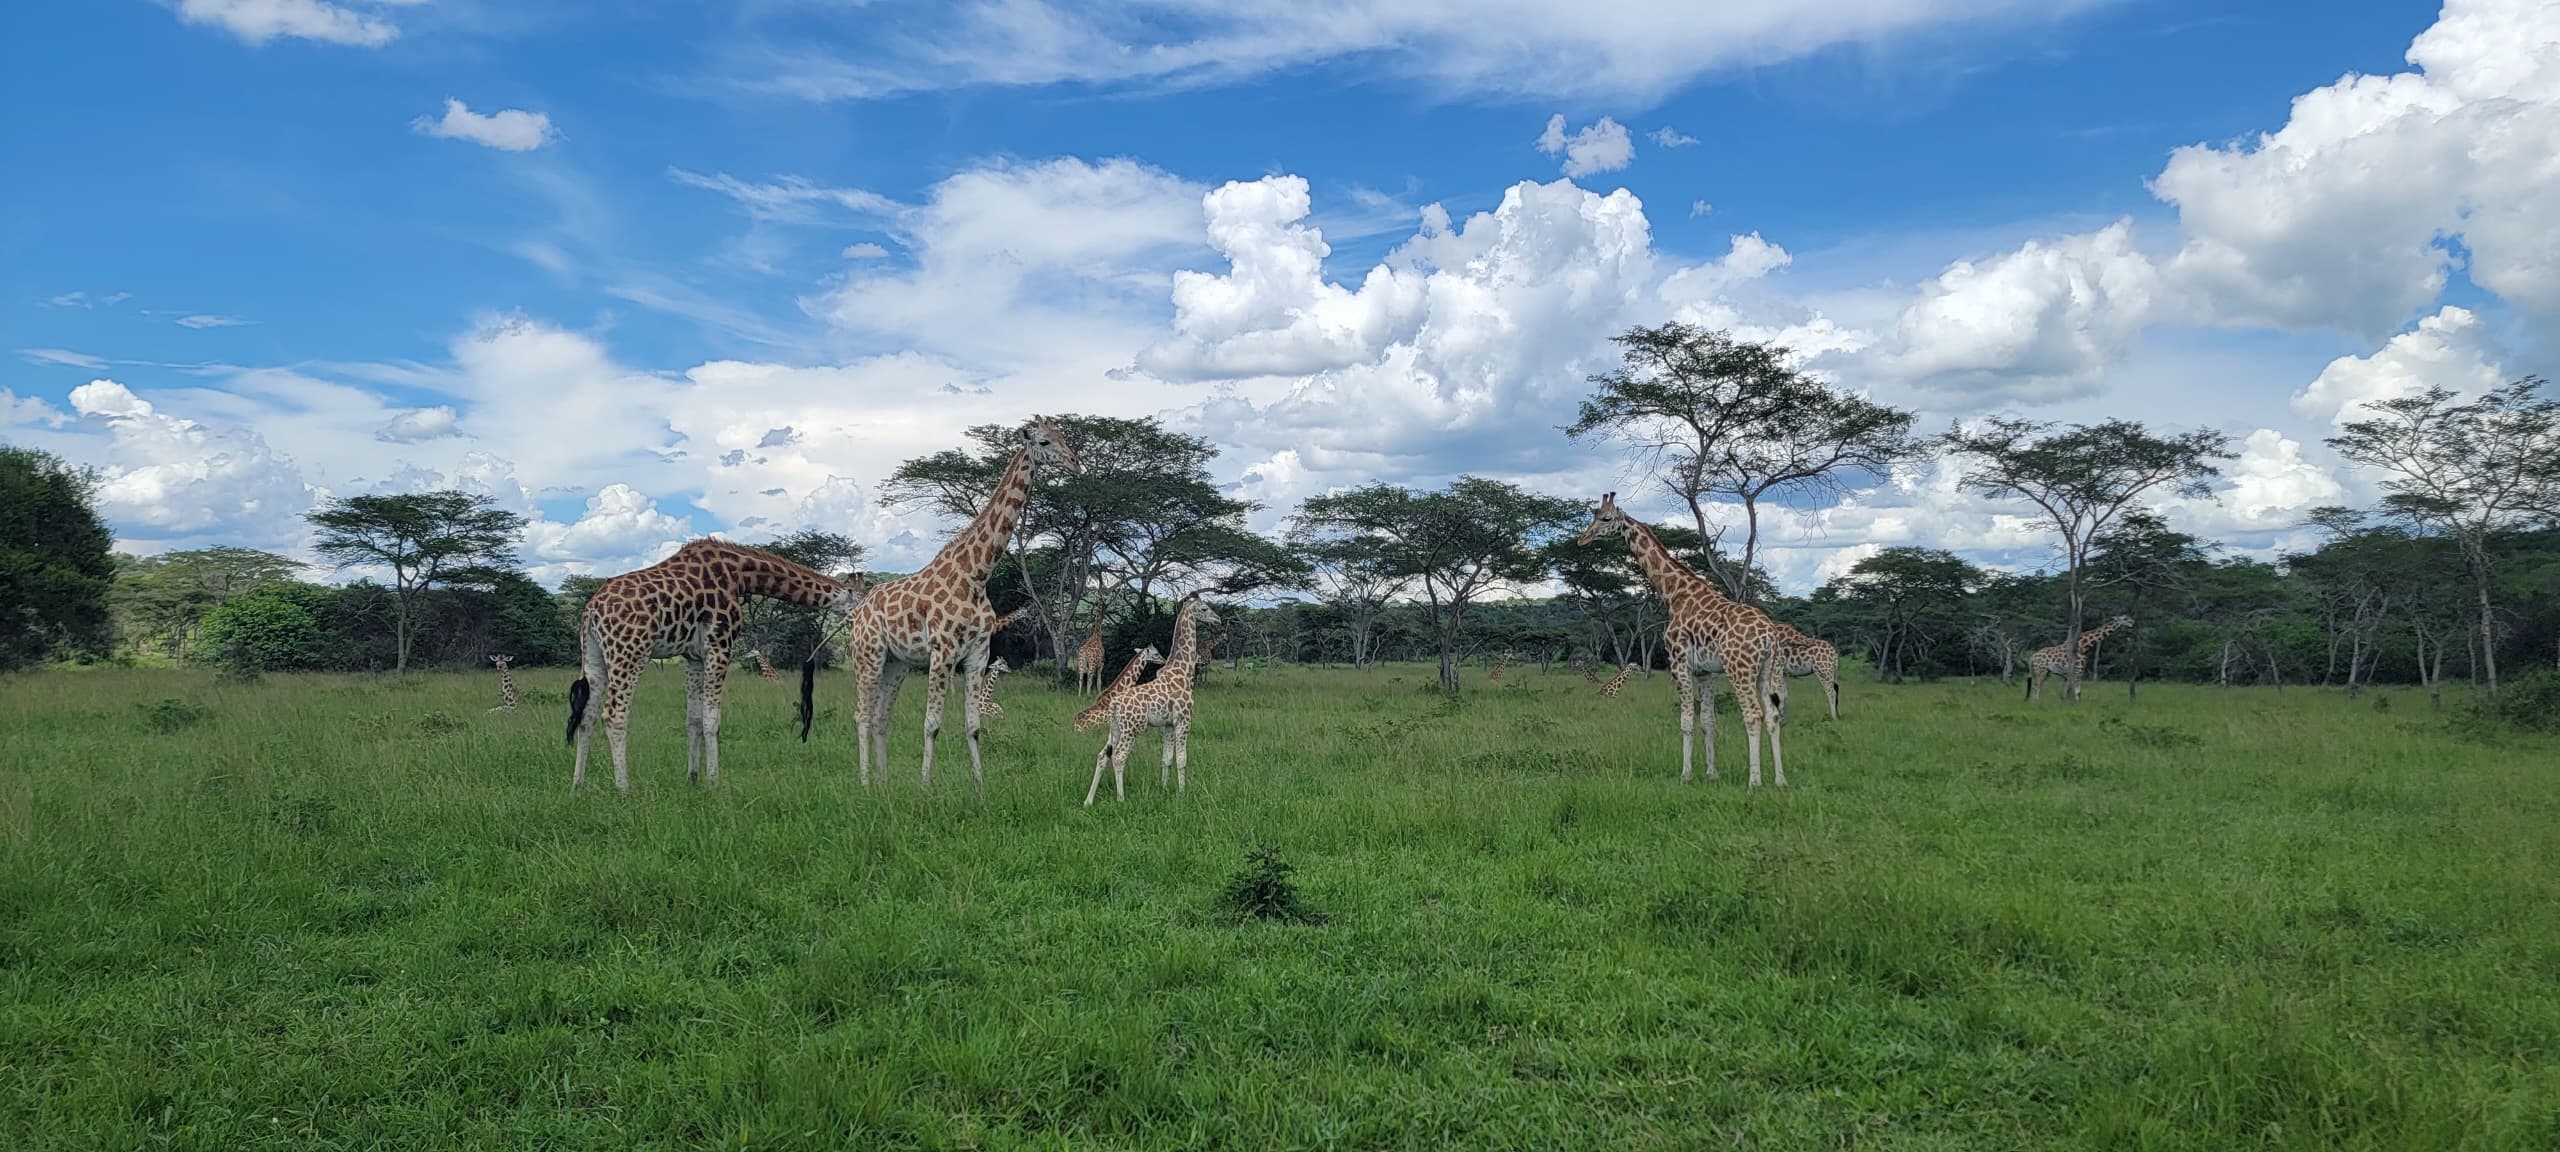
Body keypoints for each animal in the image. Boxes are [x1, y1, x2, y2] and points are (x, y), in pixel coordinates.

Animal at [565, 540, 866, 793]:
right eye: (859, 600)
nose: (864, 619)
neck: (740, 575)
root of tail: (591, 610)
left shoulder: (694, 657)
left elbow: (693, 720)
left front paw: (692, 778)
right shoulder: (720, 645)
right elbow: (712, 720)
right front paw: (714, 783)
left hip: (594, 656)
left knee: (587, 716)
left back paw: (577, 785)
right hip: (629, 653)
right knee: (614, 715)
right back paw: (624, 789)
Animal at [845, 419, 1080, 789]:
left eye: (1064, 438)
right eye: (1044, 442)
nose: (1075, 463)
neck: (976, 575)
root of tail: (860, 610)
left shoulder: (977, 654)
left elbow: (973, 726)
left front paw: (979, 786)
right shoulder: (942, 652)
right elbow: (931, 724)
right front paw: (925, 786)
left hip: (896, 663)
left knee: (882, 716)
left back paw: (884, 784)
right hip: (868, 655)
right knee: (862, 715)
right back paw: (866, 783)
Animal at [1085, 596, 1220, 806]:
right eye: (1205, 609)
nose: (1218, 619)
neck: (1183, 670)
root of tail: (1114, 705)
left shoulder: (1168, 724)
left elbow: (1167, 758)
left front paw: (1164, 789)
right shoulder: (1184, 720)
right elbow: (1182, 759)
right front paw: (1182, 793)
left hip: (1115, 729)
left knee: (1103, 755)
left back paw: (1088, 801)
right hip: (1133, 729)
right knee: (1119, 757)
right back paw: (1121, 798)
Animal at [1577, 492, 1790, 788]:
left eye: (1606, 519)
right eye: (1594, 515)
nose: (1582, 540)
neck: (1674, 593)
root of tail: (1769, 636)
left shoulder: (1678, 663)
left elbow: (1686, 721)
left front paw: (1686, 774)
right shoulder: (1705, 672)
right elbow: (1708, 722)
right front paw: (1712, 773)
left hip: (1740, 669)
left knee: (1752, 714)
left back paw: (1755, 782)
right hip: (1769, 670)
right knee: (1772, 715)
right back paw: (1780, 781)